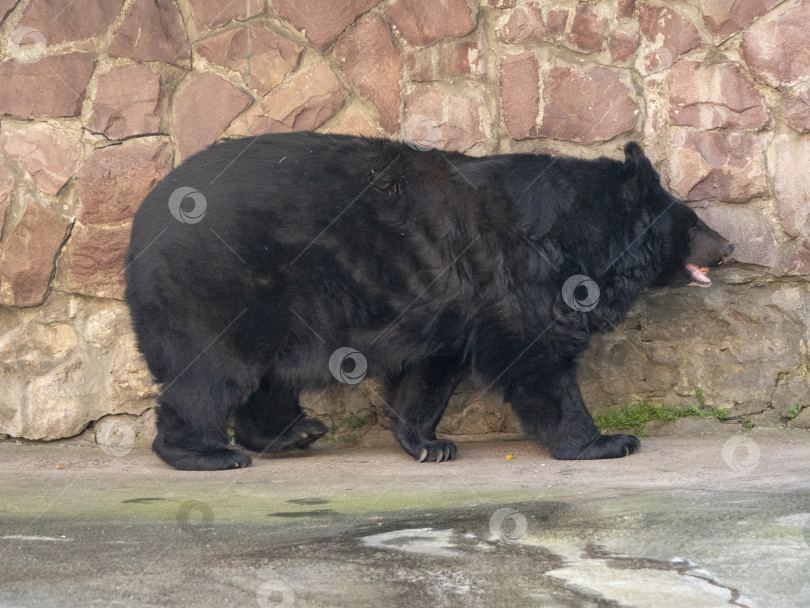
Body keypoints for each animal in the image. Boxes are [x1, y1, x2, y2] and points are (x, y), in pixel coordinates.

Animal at [124, 135, 732, 472]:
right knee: (211, 373)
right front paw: (605, 441)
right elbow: (538, 359)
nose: (729, 246)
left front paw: (427, 443)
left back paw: (294, 431)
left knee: (268, 376)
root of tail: (139, 225)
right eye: (694, 223)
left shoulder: (454, 303)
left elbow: (429, 374)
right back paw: (208, 453)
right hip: (221, 286)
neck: (581, 238)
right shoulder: (520, 279)